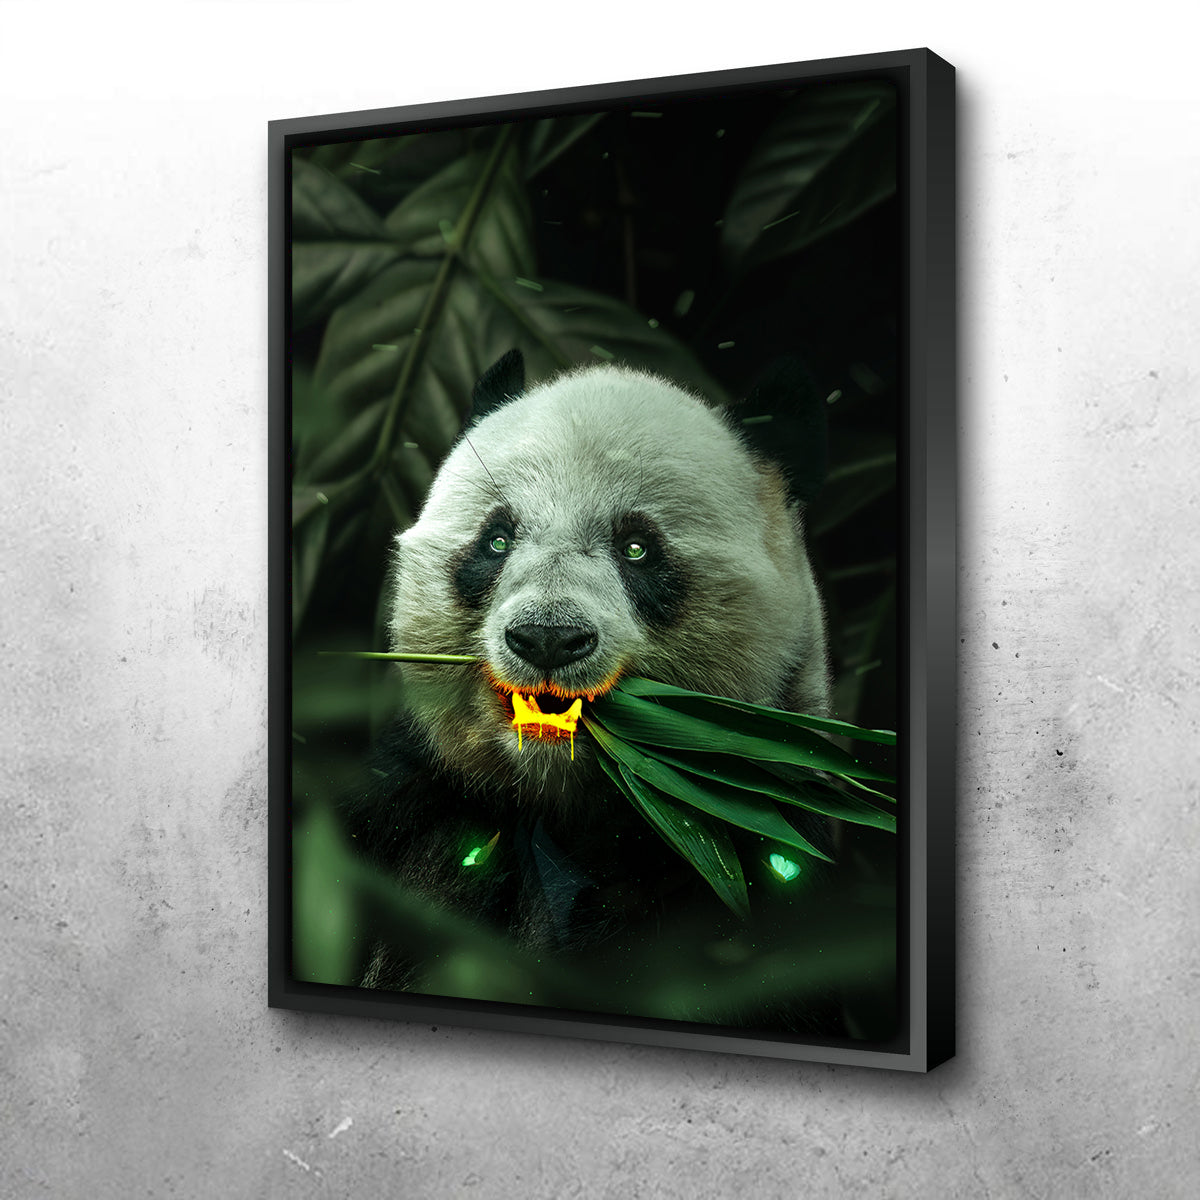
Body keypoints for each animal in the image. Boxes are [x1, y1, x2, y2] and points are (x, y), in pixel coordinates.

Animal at [340, 349, 840, 1016]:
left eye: (637, 548)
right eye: (497, 539)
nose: (547, 638)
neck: (565, 799)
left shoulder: (751, 853)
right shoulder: (415, 800)